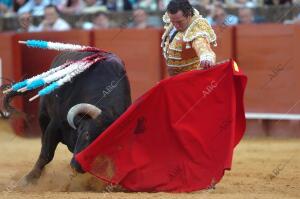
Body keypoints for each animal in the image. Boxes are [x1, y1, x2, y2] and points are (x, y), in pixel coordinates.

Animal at [0, 50, 131, 184]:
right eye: (86, 134)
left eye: (106, 145)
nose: (77, 166)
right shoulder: (55, 124)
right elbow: (46, 154)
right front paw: (27, 180)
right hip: (43, 115)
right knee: (43, 141)